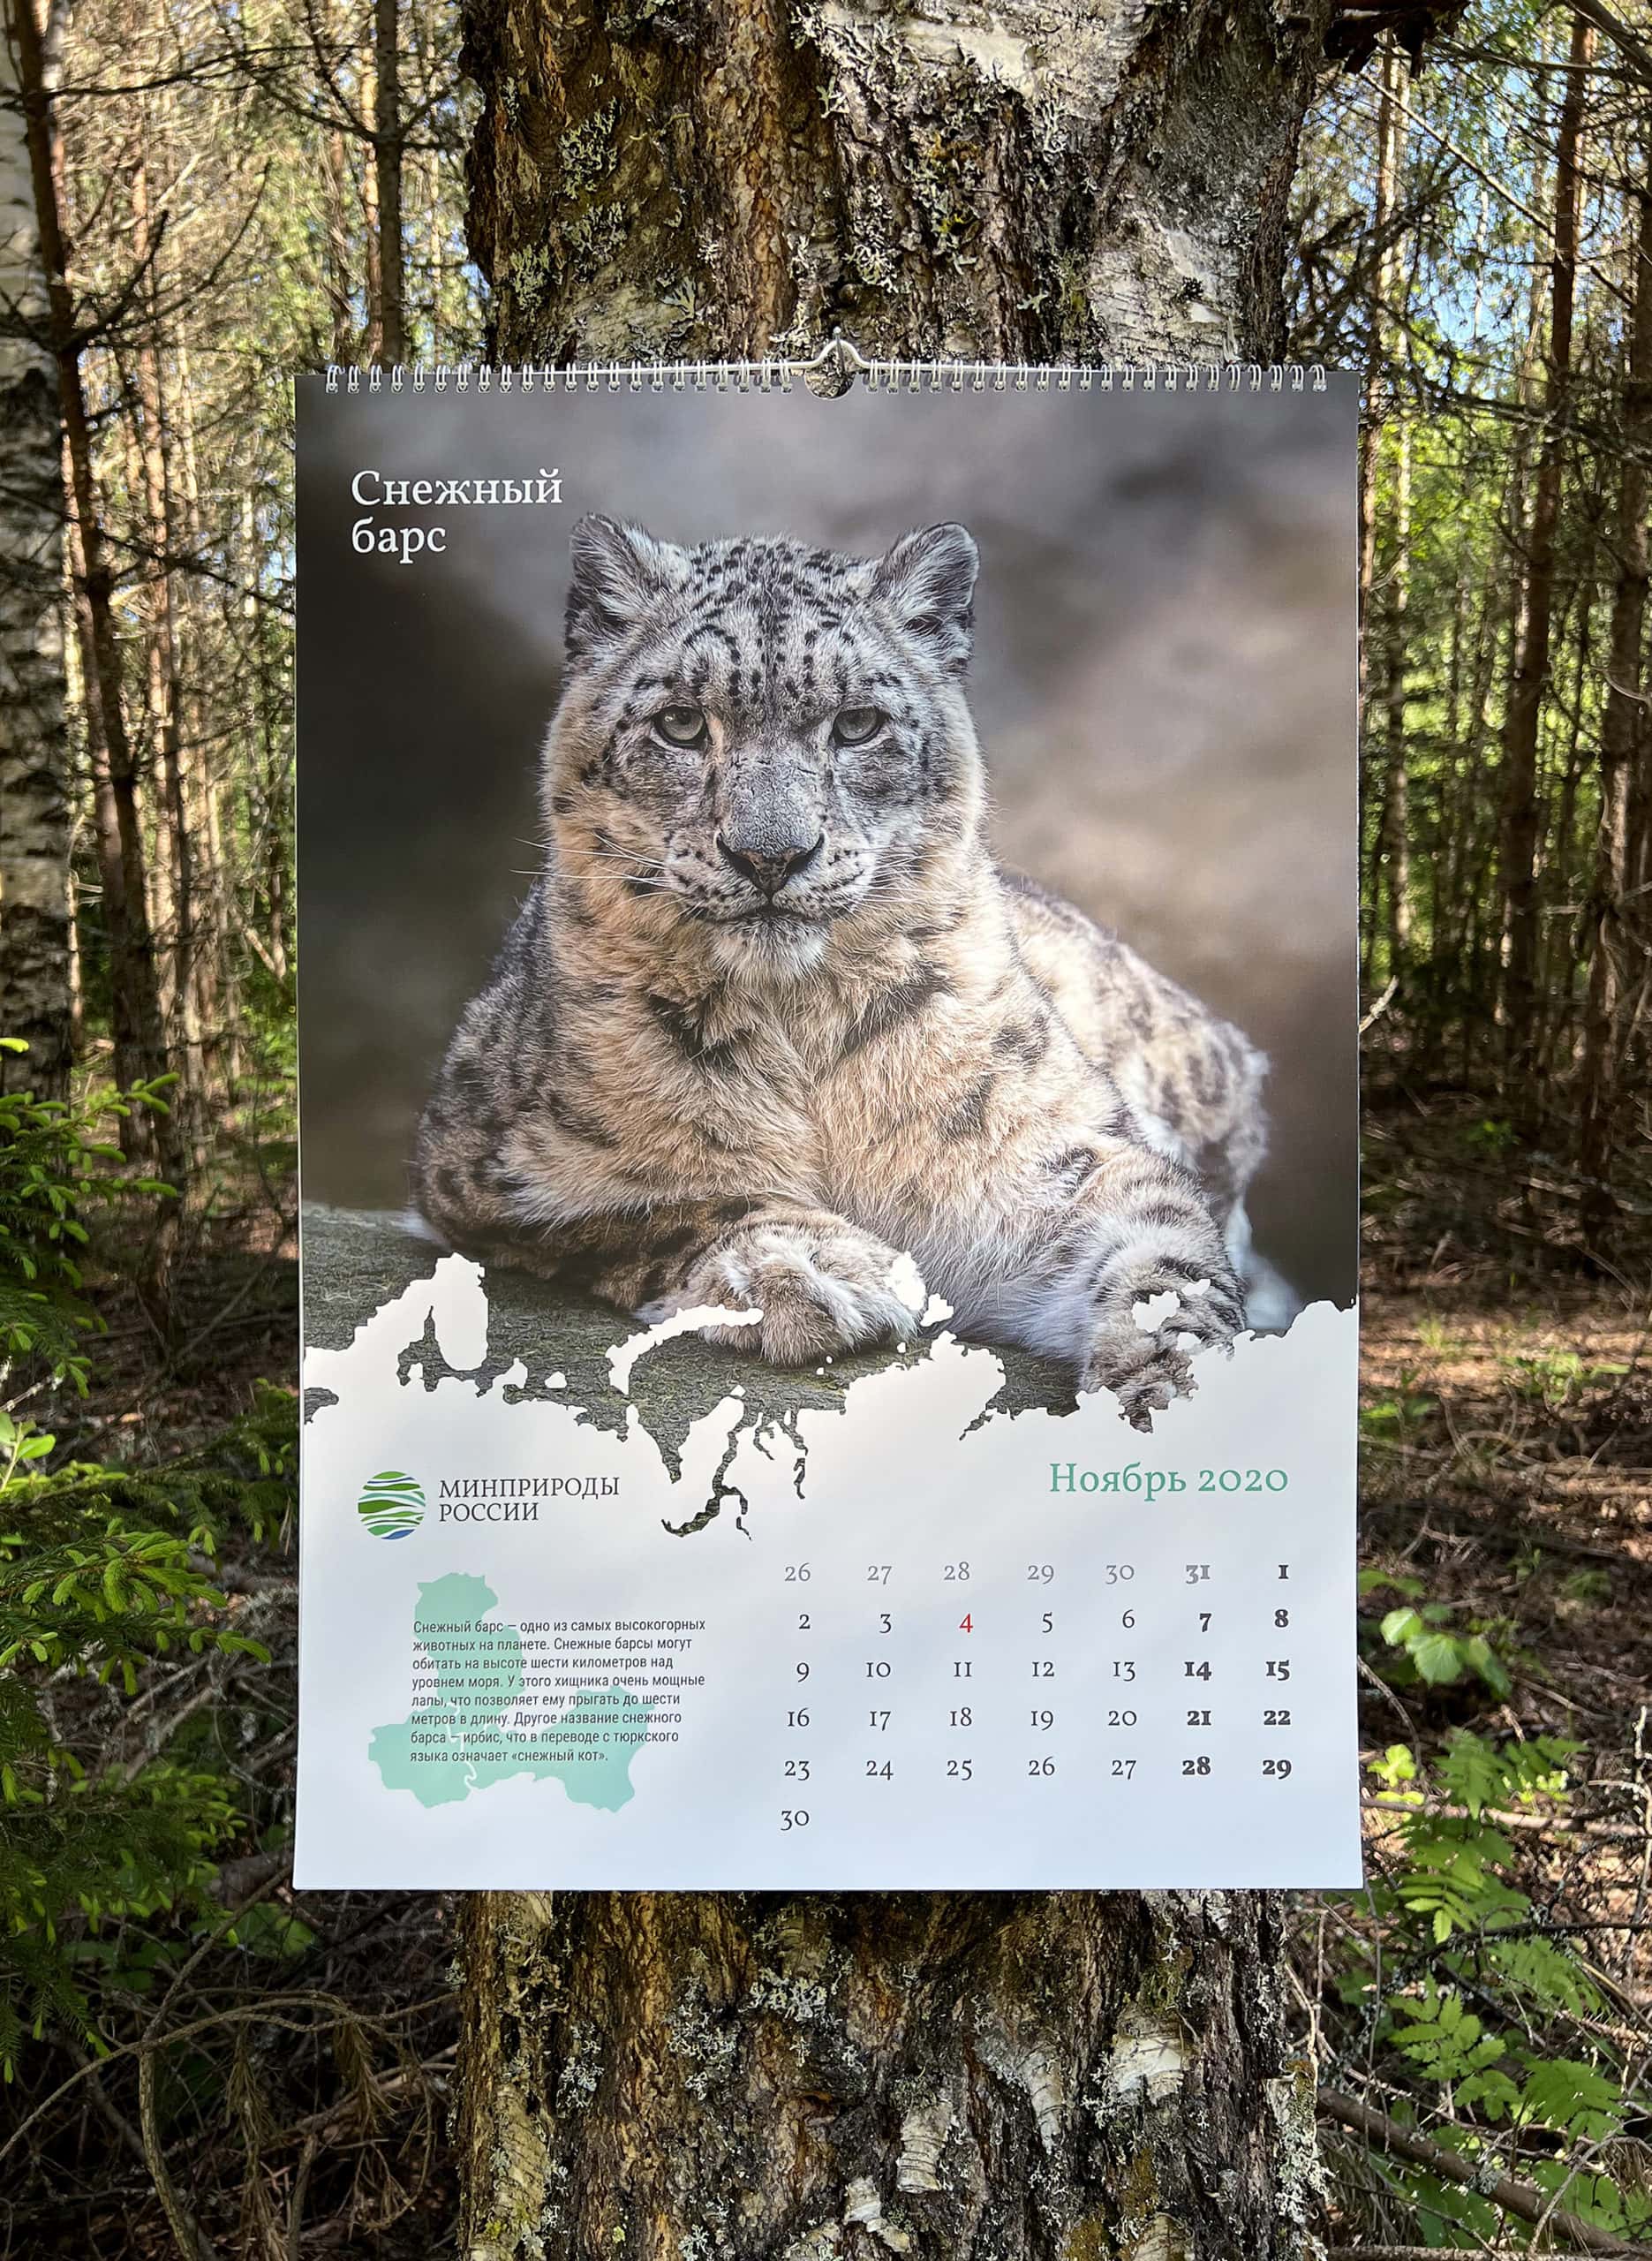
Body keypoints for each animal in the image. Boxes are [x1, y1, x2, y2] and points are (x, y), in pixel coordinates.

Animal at [410, 514, 1285, 1429]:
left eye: (858, 723)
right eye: (680, 724)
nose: (770, 855)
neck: (798, 1025)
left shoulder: (1057, 1157)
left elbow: (1166, 1257)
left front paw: (1173, 1395)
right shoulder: (491, 1169)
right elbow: (662, 1204)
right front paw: (820, 1271)